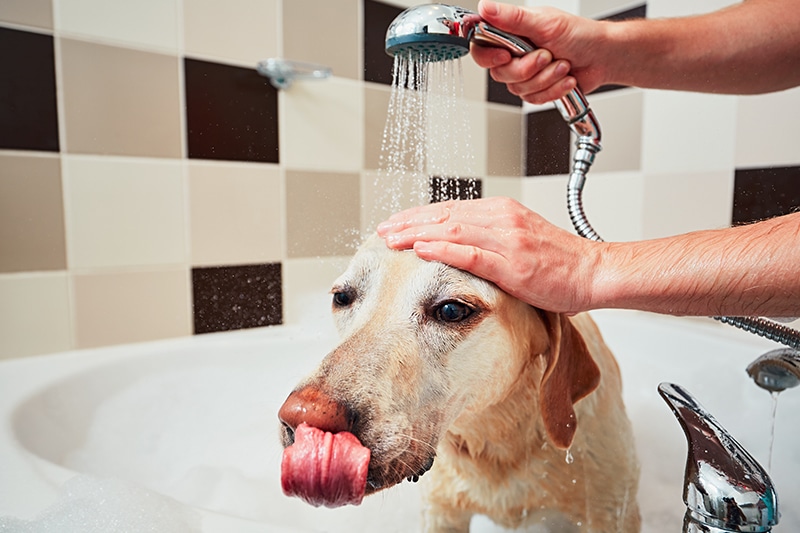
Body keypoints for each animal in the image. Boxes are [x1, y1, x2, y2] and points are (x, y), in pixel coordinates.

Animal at [278, 235, 640, 528]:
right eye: (342, 297)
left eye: (451, 310)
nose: (306, 415)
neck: (503, 439)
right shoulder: (441, 515)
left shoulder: (612, 514)